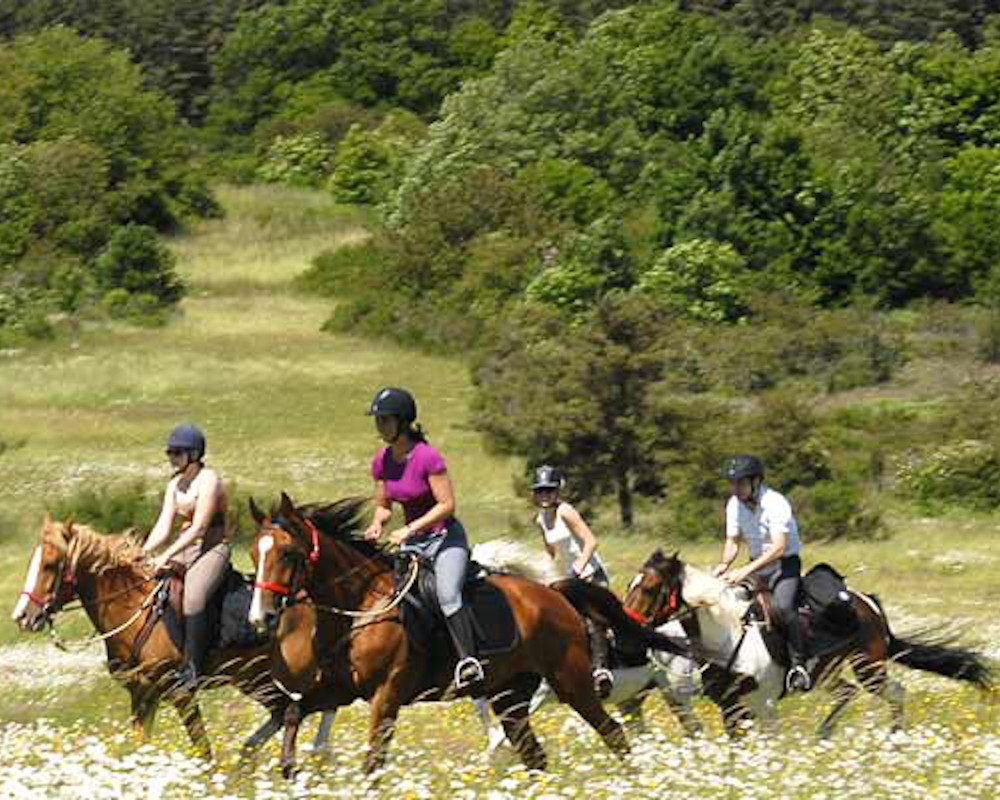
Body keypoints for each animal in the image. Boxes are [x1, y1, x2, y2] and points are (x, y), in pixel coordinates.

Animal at [9, 520, 334, 756]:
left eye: (50, 565)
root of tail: (308, 598)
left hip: (289, 676)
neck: (133, 610)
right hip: (255, 679)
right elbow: (141, 744)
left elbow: (202, 748)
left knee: (314, 705)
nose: (23, 616)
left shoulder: (181, 693)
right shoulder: (141, 694)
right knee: (286, 712)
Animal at [246, 494, 692, 776]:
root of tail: (552, 593)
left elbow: (372, 762)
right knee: (534, 754)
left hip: (571, 681)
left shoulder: (386, 695)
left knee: (613, 733)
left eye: (288, 554)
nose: (261, 617)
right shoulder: (338, 690)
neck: (361, 605)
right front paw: (290, 770)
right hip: (511, 695)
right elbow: (292, 714)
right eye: (254, 553)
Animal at [620, 552, 996, 736]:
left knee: (895, 692)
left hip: (869, 666)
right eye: (630, 584)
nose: (624, 625)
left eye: (650, 588)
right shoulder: (729, 706)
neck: (726, 635)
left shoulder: (764, 705)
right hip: (828, 672)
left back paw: (894, 738)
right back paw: (823, 734)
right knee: (847, 693)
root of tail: (868, 602)